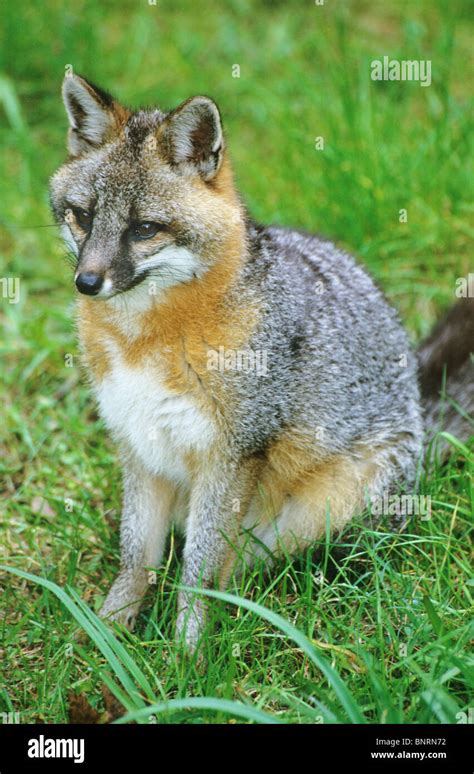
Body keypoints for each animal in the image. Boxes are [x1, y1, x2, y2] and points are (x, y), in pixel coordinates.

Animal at [50, 74, 473, 652]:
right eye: (83, 216)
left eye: (144, 229)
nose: (87, 282)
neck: (145, 341)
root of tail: (419, 412)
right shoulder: (139, 443)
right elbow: (136, 559)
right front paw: (109, 637)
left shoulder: (233, 453)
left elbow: (198, 571)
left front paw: (184, 656)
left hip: (319, 515)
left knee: (245, 569)